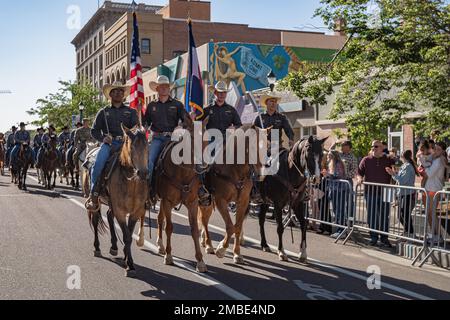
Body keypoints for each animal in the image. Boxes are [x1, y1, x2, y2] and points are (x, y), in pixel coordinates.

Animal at [88, 125, 149, 278]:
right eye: (132, 146)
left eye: (147, 146)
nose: (143, 173)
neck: (132, 182)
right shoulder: (120, 211)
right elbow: (126, 236)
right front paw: (130, 264)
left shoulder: (135, 212)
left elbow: (128, 236)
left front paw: (127, 260)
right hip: (96, 202)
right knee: (96, 221)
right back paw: (97, 248)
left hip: (111, 203)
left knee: (109, 216)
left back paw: (114, 247)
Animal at [155, 115, 209, 272]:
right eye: (191, 137)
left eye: (207, 138)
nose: (204, 166)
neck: (183, 172)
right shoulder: (167, 201)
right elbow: (169, 227)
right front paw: (169, 256)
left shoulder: (193, 203)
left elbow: (194, 229)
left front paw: (200, 261)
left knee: (159, 218)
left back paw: (160, 245)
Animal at [199, 125, 268, 264]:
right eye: (253, 146)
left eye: (268, 146)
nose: (261, 175)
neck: (235, 170)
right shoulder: (220, 201)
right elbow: (230, 227)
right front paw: (221, 249)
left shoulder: (243, 202)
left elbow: (237, 227)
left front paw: (237, 254)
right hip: (205, 201)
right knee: (204, 220)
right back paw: (209, 245)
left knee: (205, 220)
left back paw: (204, 241)